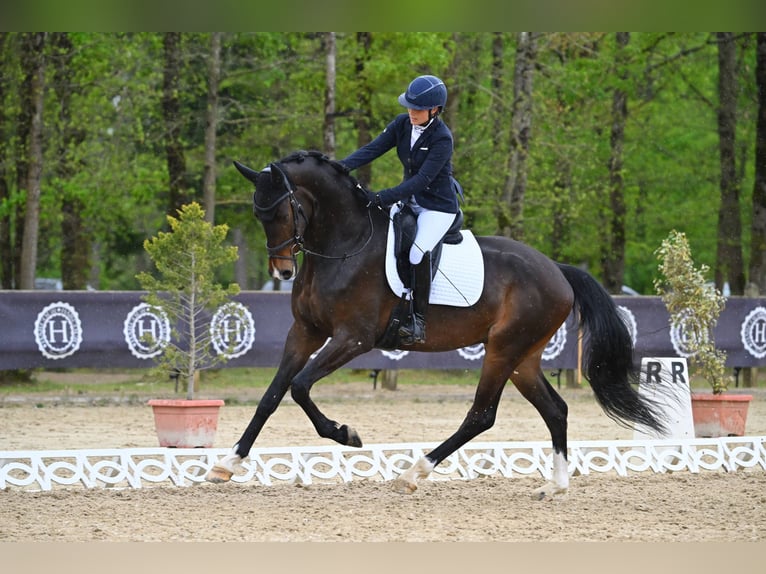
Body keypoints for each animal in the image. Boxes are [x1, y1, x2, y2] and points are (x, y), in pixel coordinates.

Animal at [206, 149, 667, 498]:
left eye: (288, 208)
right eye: (259, 213)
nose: (283, 271)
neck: (343, 245)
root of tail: (558, 270)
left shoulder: (353, 338)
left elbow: (300, 387)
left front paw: (345, 433)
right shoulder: (304, 332)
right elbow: (272, 396)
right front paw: (227, 463)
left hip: (503, 350)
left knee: (481, 415)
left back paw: (414, 473)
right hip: (524, 357)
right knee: (555, 410)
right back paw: (554, 486)